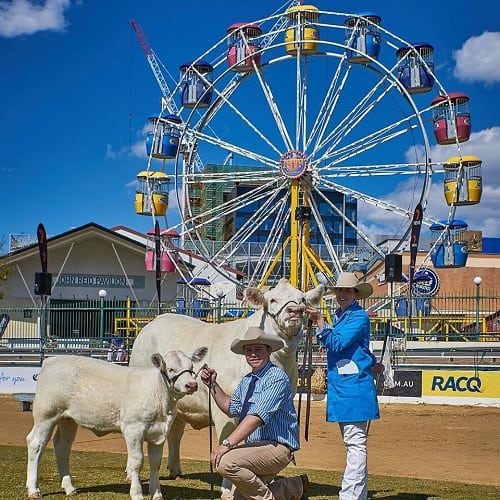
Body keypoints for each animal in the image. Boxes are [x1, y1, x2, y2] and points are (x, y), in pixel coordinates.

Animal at [26, 348, 206, 500]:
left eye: (191, 367)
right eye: (171, 369)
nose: (191, 385)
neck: (160, 397)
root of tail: (52, 360)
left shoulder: (159, 433)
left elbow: (155, 463)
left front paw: (156, 494)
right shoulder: (134, 429)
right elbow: (137, 462)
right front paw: (137, 493)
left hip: (68, 419)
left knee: (62, 447)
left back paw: (69, 488)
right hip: (46, 414)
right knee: (35, 444)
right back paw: (34, 489)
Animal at [130, 278, 324, 480]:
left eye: (302, 299)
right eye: (272, 299)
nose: (295, 310)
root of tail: (155, 321)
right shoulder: (226, 413)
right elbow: (227, 445)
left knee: (175, 431)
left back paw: (175, 470)